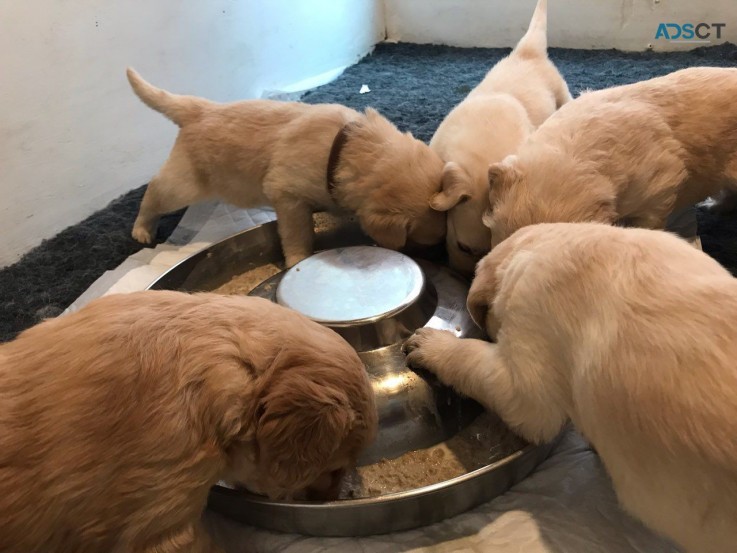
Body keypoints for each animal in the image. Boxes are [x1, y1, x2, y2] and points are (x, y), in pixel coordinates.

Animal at [126, 69, 442, 266]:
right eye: (424, 242)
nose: (439, 257)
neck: (349, 148)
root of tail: (198, 108)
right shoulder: (288, 195)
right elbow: (297, 233)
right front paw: (299, 259)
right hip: (184, 183)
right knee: (154, 193)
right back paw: (142, 229)